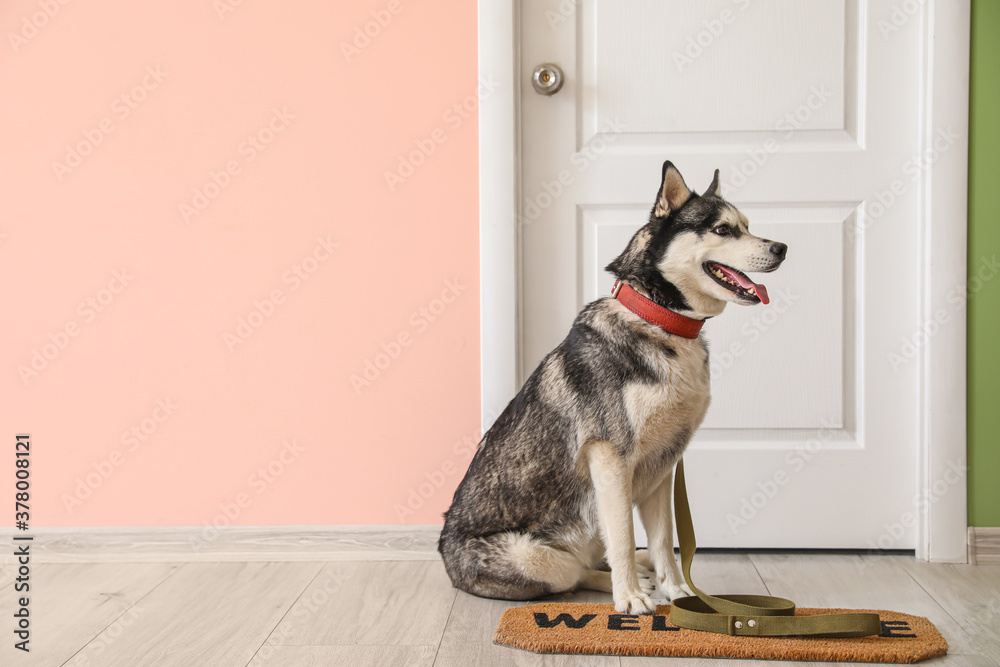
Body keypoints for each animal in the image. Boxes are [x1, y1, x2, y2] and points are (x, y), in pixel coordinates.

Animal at [438, 162, 788, 616]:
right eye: (723, 229)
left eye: (747, 226)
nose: (782, 247)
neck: (661, 321)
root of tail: (445, 553)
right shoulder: (610, 460)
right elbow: (622, 536)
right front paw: (632, 599)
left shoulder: (663, 467)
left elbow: (663, 543)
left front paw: (680, 593)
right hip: (537, 557)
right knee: (574, 572)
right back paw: (627, 583)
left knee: (600, 556)